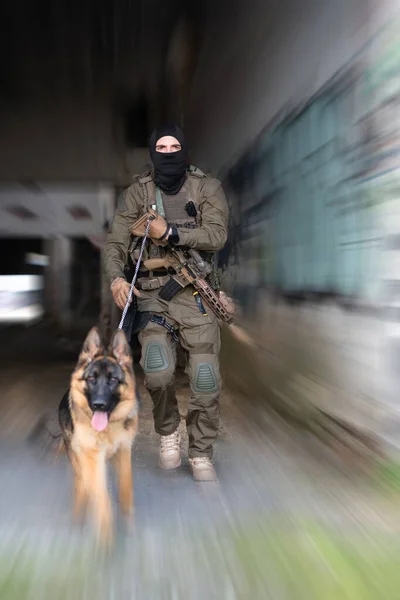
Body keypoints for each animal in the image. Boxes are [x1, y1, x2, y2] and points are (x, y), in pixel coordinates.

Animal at [57, 326, 139, 548]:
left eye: (112, 380)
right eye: (91, 379)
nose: (99, 405)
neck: (108, 429)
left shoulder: (124, 452)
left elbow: (126, 488)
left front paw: (129, 523)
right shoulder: (92, 458)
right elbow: (102, 498)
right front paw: (106, 540)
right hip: (80, 460)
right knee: (83, 484)